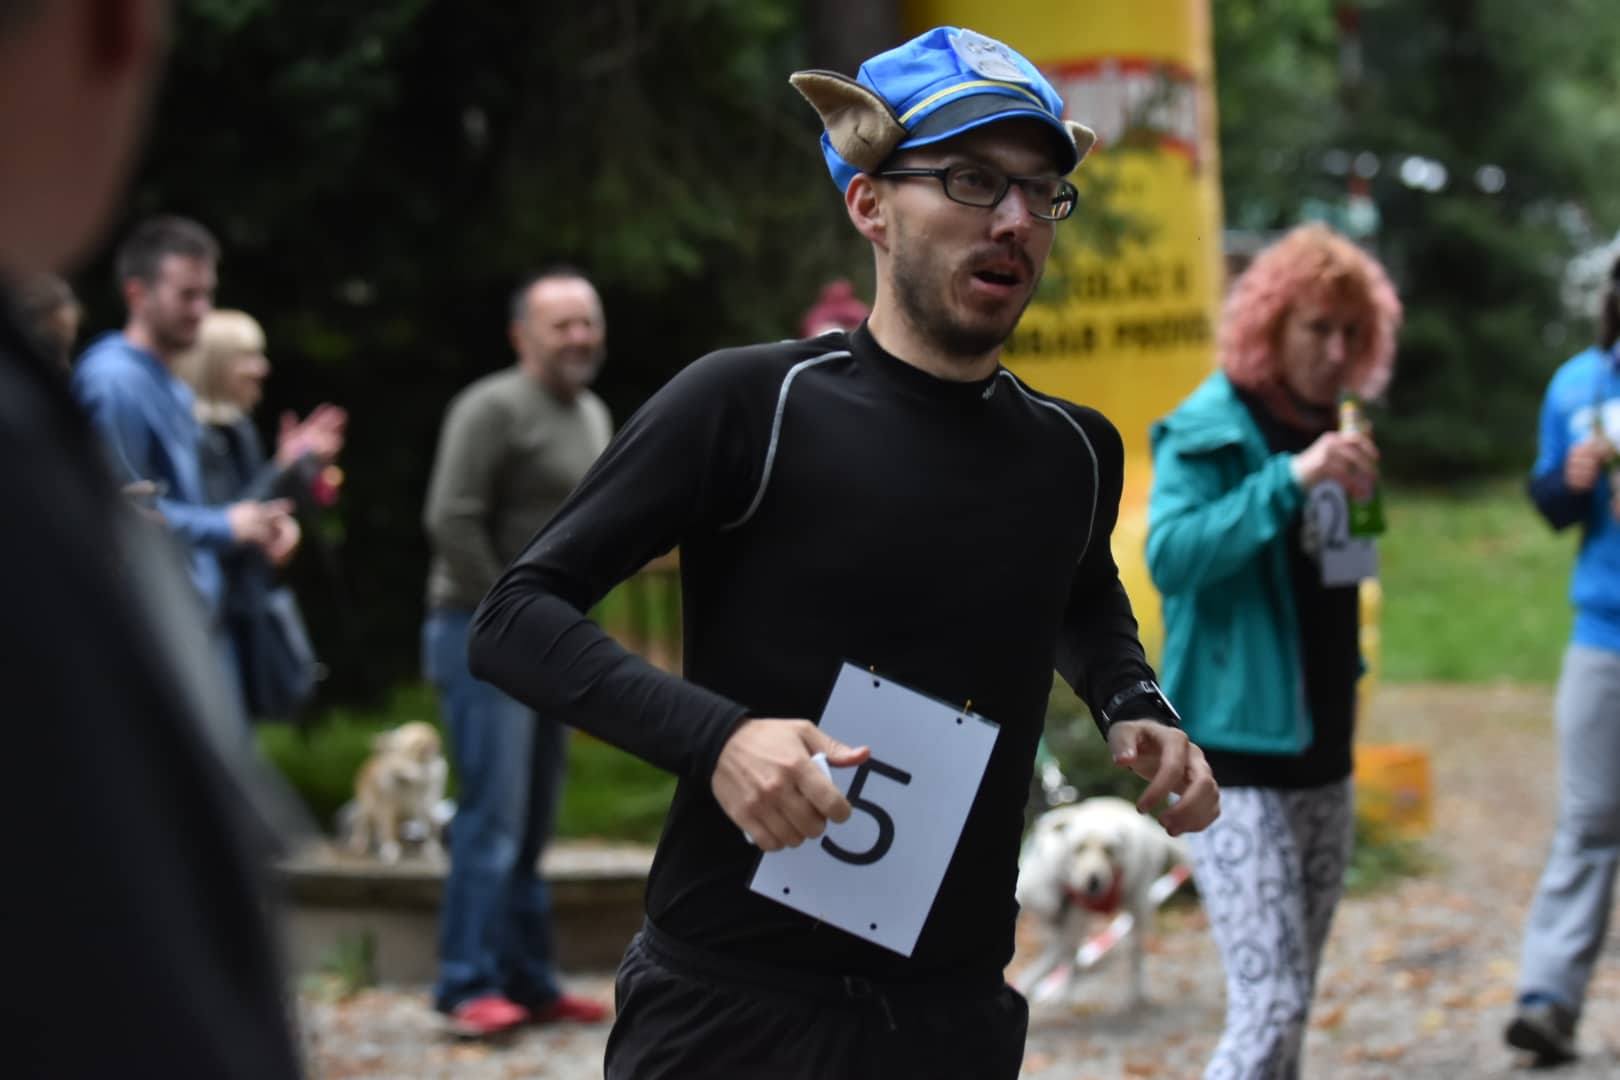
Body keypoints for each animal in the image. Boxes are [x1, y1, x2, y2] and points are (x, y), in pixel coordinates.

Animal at [344, 721, 449, 864]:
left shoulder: (426, 806)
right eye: (414, 745)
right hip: (368, 807)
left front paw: (433, 850)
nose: (431, 746)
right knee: (363, 824)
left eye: (431, 739)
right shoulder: (387, 807)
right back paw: (360, 843)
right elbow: (388, 829)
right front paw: (390, 851)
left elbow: (432, 827)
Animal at [1014, 796, 1190, 1007]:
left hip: (1138, 903)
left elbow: (1056, 958)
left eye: (1109, 850)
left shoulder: (1070, 920)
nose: (1094, 881)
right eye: (1079, 847)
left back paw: (1136, 993)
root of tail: (1150, 827)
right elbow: (1064, 954)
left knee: (1135, 954)